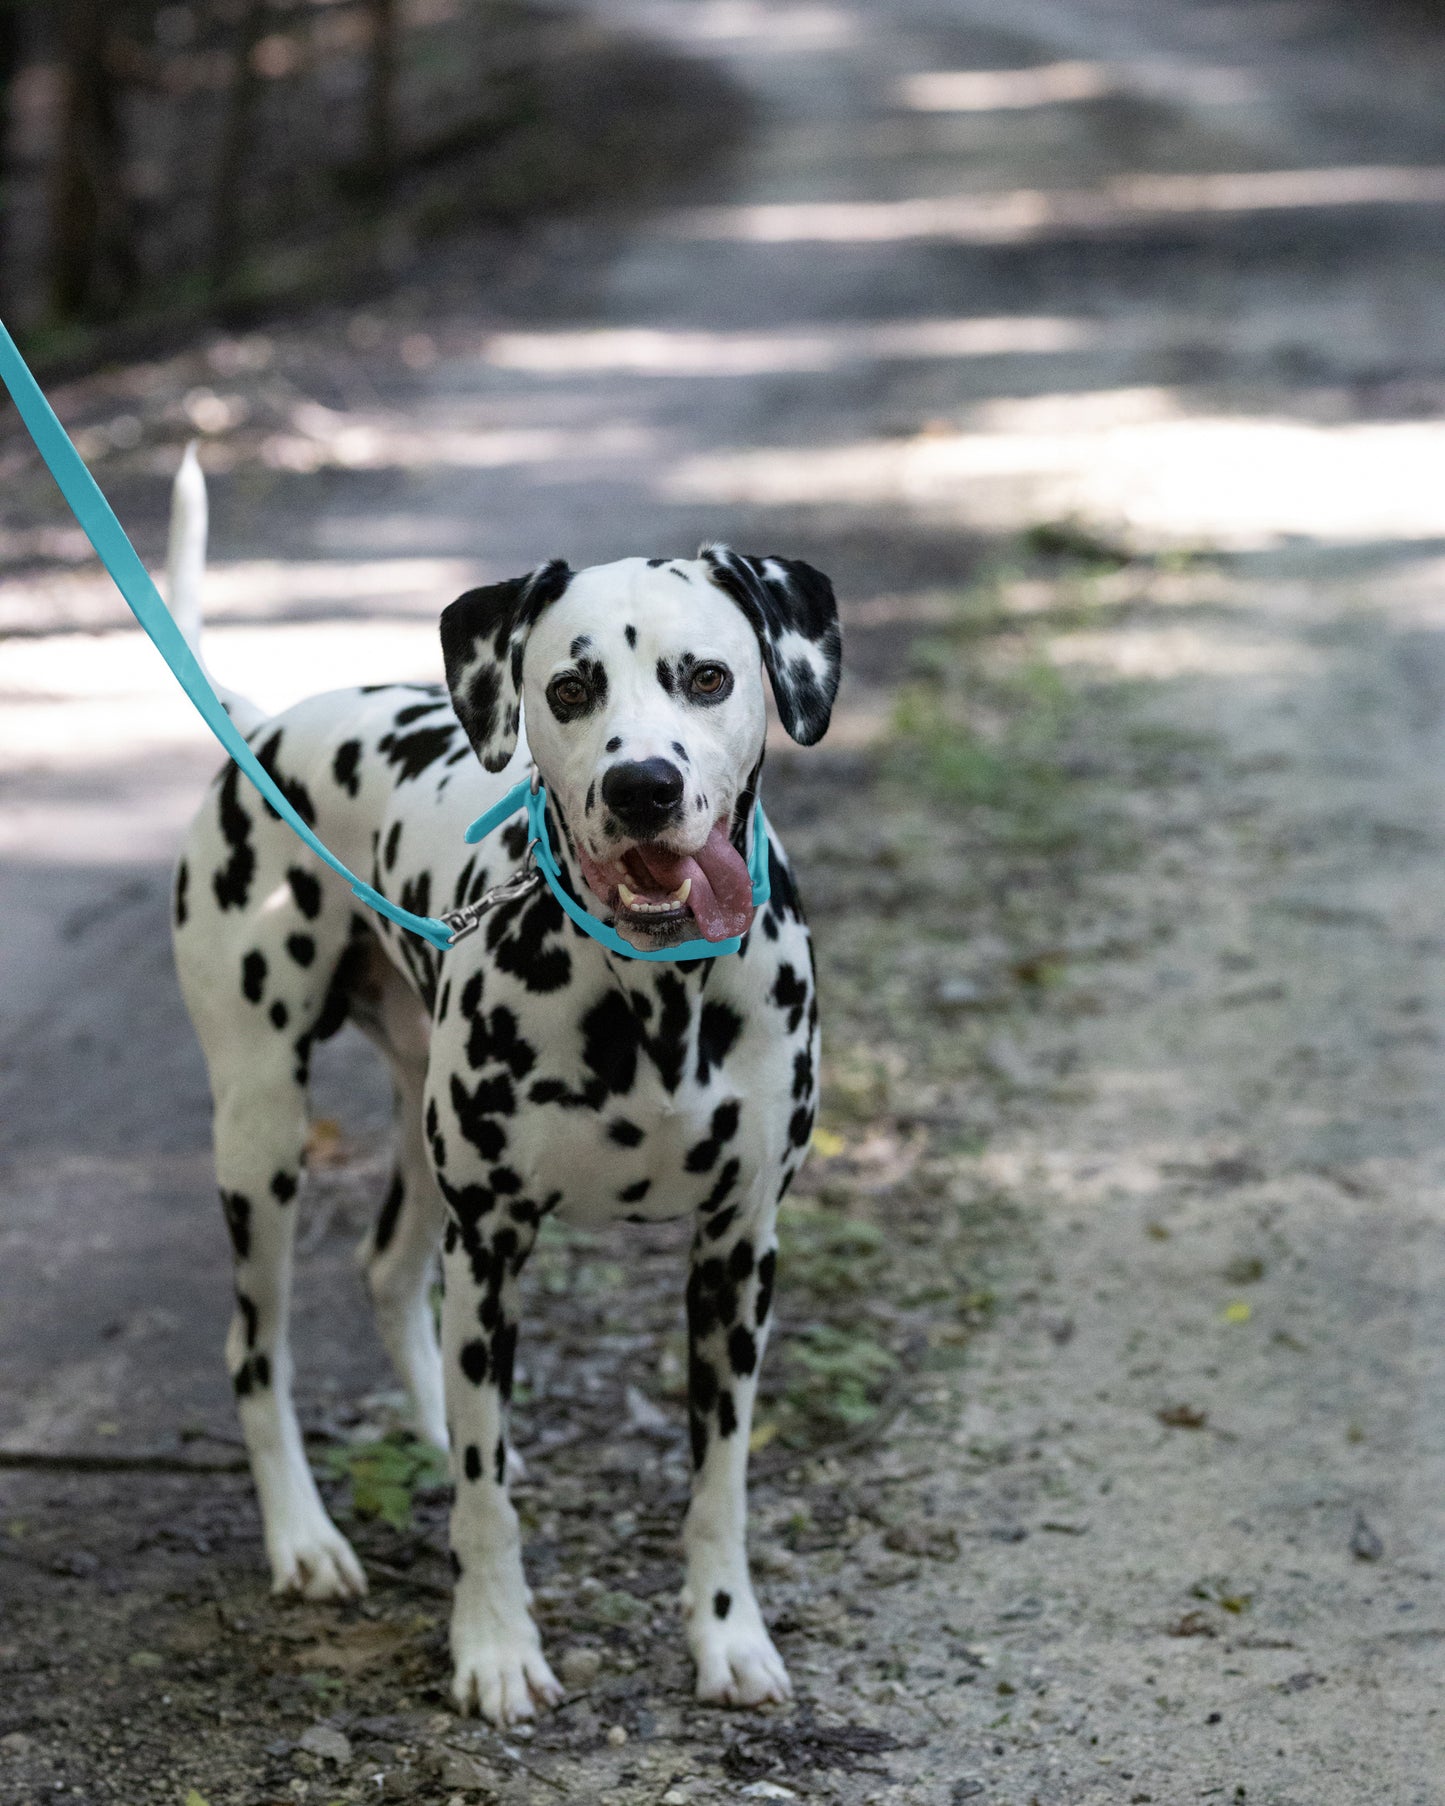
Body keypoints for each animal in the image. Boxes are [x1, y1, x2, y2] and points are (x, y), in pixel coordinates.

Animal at [167, 447, 841, 1719]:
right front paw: (490, 1646)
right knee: (253, 1350)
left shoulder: (739, 1254)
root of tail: (265, 727)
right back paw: (304, 1539)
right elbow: (485, 1506)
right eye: (569, 688)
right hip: (261, 1134)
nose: (641, 787)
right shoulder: (491, 1249)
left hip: (415, 1132)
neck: (652, 992)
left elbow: (718, 1484)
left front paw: (727, 1635)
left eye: (708, 676)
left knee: (387, 1275)